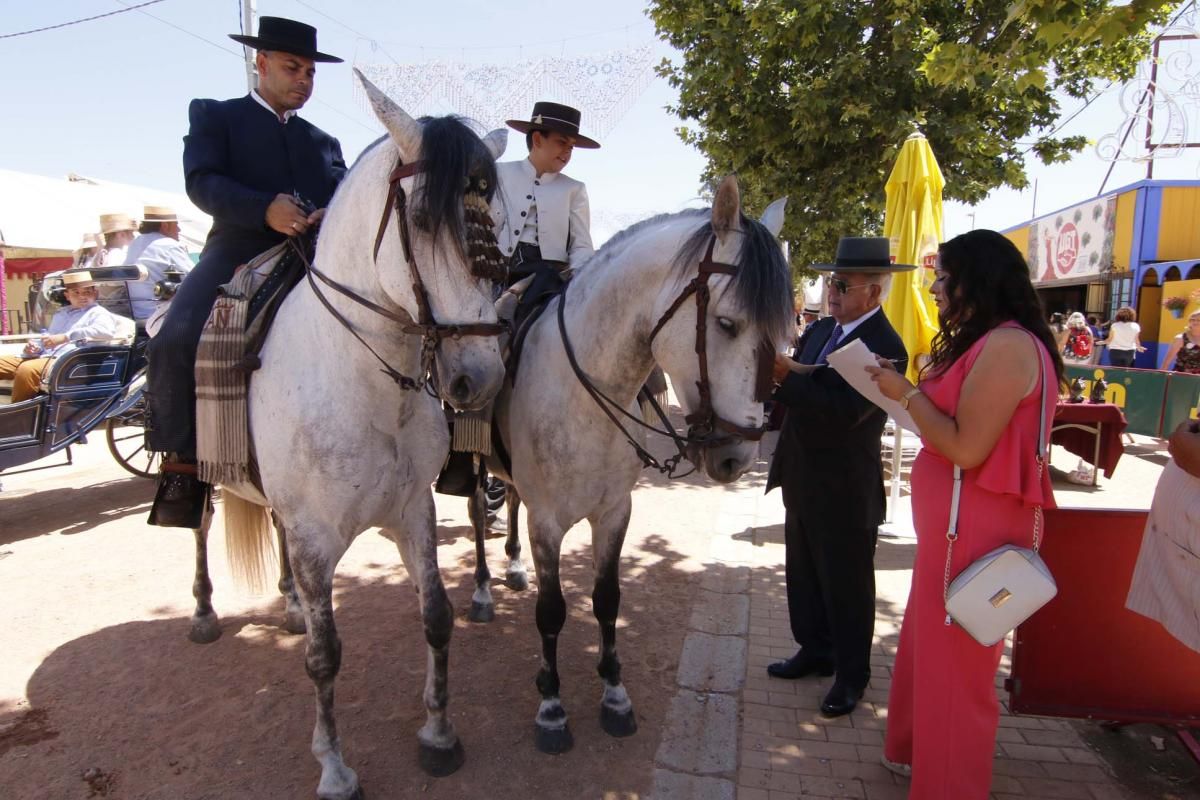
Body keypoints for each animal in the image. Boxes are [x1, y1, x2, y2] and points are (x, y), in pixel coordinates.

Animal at [202, 73, 511, 800]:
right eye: (422, 220)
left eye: (496, 222)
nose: (480, 378)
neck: (366, 387)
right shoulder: (317, 537)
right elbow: (325, 657)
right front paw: (335, 768)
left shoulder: (412, 512)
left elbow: (436, 616)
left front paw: (438, 734)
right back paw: (203, 611)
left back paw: (288, 604)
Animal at [472, 178, 792, 753]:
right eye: (727, 323)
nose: (737, 457)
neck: (583, 389)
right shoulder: (548, 523)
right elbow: (552, 612)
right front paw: (551, 706)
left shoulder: (614, 513)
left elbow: (606, 599)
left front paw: (615, 695)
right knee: (474, 518)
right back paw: (484, 587)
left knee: (507, 503)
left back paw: (512, 566)